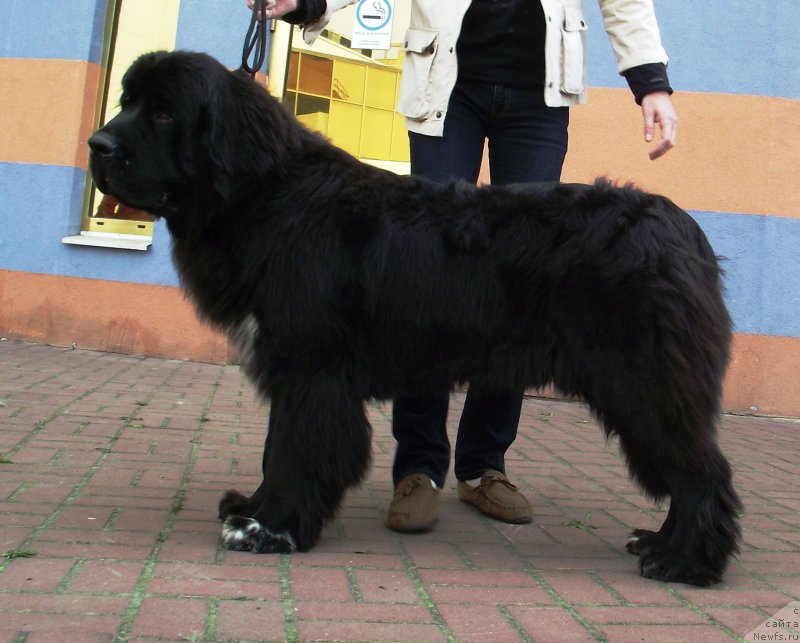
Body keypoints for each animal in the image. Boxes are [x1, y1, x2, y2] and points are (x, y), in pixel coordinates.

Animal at [86, 51, 736, 584]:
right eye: (125, 102)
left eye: (163, 114)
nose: (97, 145)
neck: (265, 192)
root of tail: (681, 229)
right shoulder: (288, 365)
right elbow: (277, 449)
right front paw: (253, 509)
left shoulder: (310, 369)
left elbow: (298, 450)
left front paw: (271, 529)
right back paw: (658, 543)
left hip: (644, 383)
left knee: (701, 472)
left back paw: (683, 561)